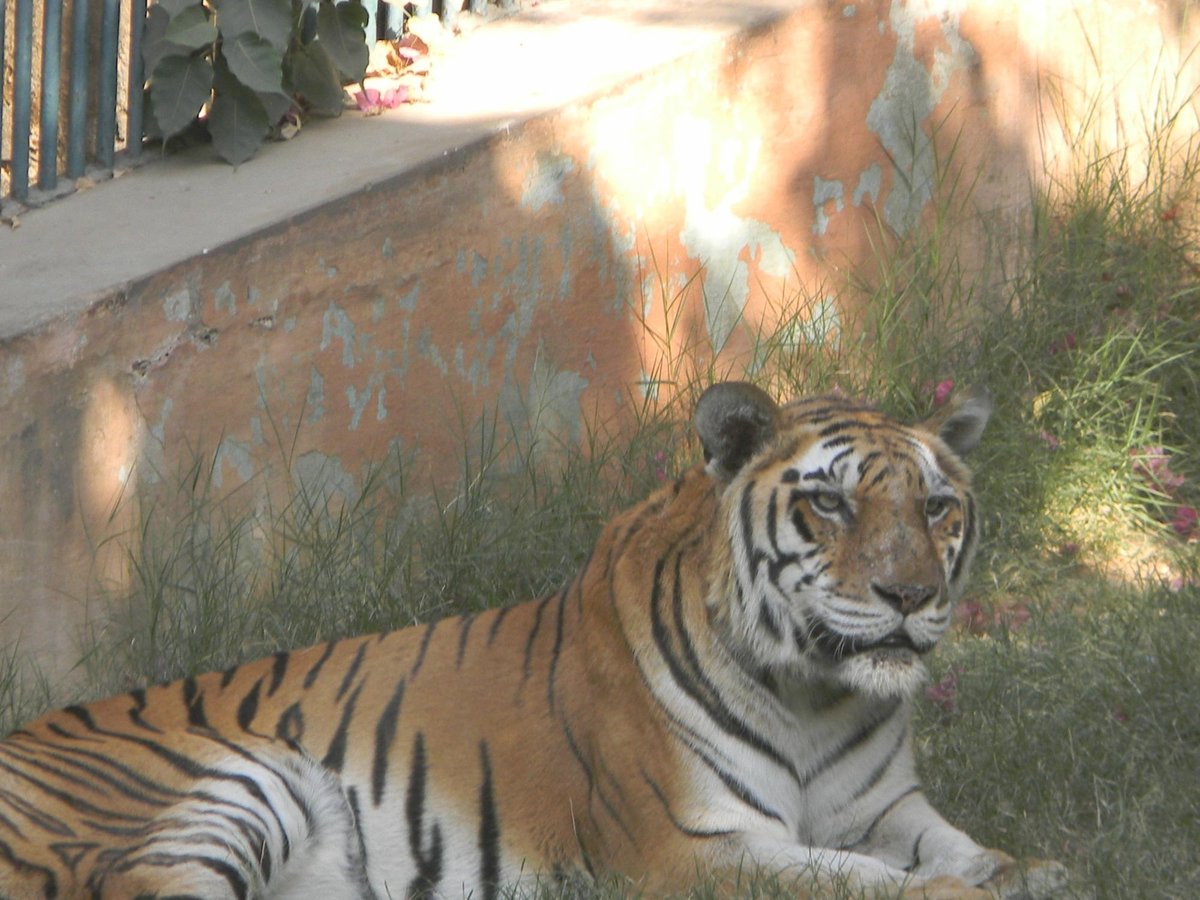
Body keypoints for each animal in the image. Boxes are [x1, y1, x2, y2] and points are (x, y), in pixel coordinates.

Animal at [0, 381, 1070, 900]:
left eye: (937, 508)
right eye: (832, 504)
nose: (910, 594)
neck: (816, 694)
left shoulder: (887, 808)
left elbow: (960, 850)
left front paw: (1033, 872)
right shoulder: (696, 849)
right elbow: (874, 888)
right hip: (226, 788)